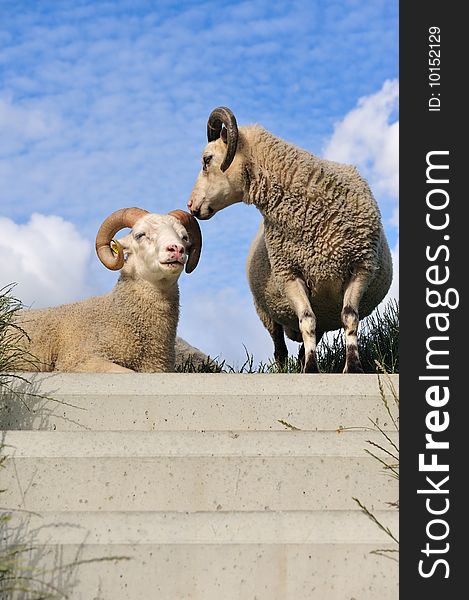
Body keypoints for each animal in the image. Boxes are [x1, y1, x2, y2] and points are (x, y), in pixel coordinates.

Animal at [186, 105, 392, 372]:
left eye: (207, 159)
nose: (190, 206)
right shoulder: (289, 274)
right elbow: (306, 320)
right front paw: (311, 369)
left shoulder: (361, 267)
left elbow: (349, 316)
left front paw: (353, 367)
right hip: (266, 311)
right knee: (280, 347)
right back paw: (284, 367)